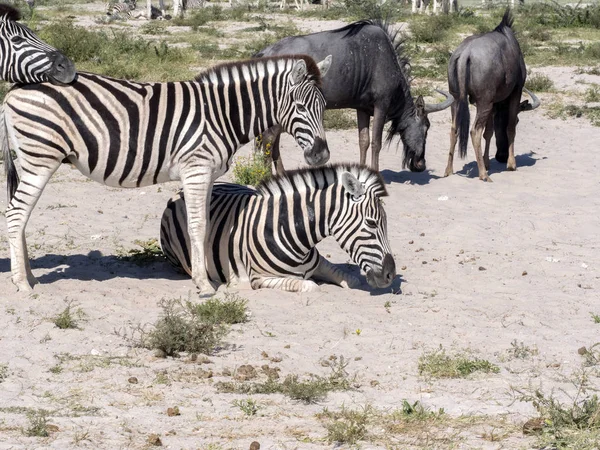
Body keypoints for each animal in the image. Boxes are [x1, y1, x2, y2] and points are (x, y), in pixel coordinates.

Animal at [2, 54, 330, 294]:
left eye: (325, 107)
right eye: (300, 106)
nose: (321, 156)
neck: (221, 114)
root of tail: (15, 89)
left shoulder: (207, 174)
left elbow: (206, 225)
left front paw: (205, 273)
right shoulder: (196, 169)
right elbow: (197, 226)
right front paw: (203, 285)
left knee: (19, 214)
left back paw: (29, 276)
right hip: (41, 158)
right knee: (16, 214)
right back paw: (21, 283)